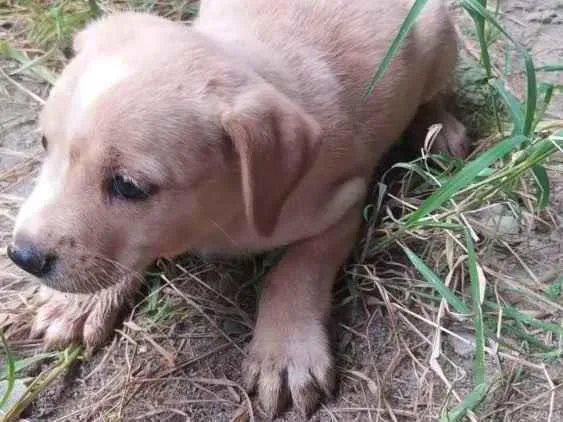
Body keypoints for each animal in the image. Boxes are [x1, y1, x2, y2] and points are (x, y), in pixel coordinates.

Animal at [6, 0, 470, 416]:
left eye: (128, 186)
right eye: (44, 144)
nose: (21, 256)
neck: (221, 214)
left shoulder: (344, 201)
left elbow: (295, 271)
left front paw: (286, 351)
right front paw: (81, 304)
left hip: (439, 39)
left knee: (434, 95)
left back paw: (440, 130)